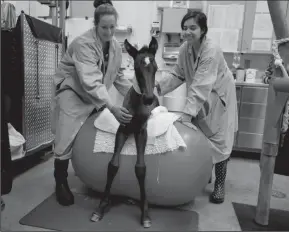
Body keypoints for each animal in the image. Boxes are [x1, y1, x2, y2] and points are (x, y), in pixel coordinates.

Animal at [90, 37, 159, 227]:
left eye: (156, 67)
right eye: (137, 68)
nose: (148, 98)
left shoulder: (142, 132)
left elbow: (141, 168)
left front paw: (145, 213)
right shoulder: (122, 129)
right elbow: (113, 165)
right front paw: (101, 207)